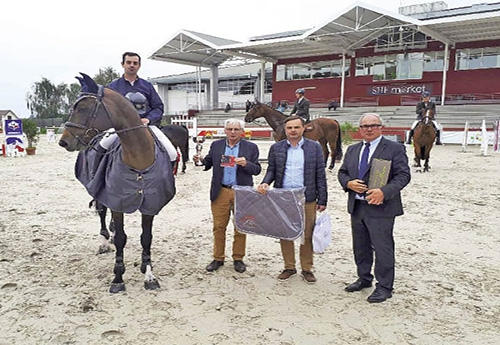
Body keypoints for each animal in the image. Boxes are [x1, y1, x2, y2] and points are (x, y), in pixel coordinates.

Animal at [59, 73, 176, 292]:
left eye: (83, 108)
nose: (64, 141)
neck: (139, 155)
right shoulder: (117, 203)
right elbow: (122, 238)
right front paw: (118, 278)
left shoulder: (150, 204)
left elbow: (146, 238)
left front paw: (149, 275)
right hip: (98, 190)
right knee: (102, 211)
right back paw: (105, 241)